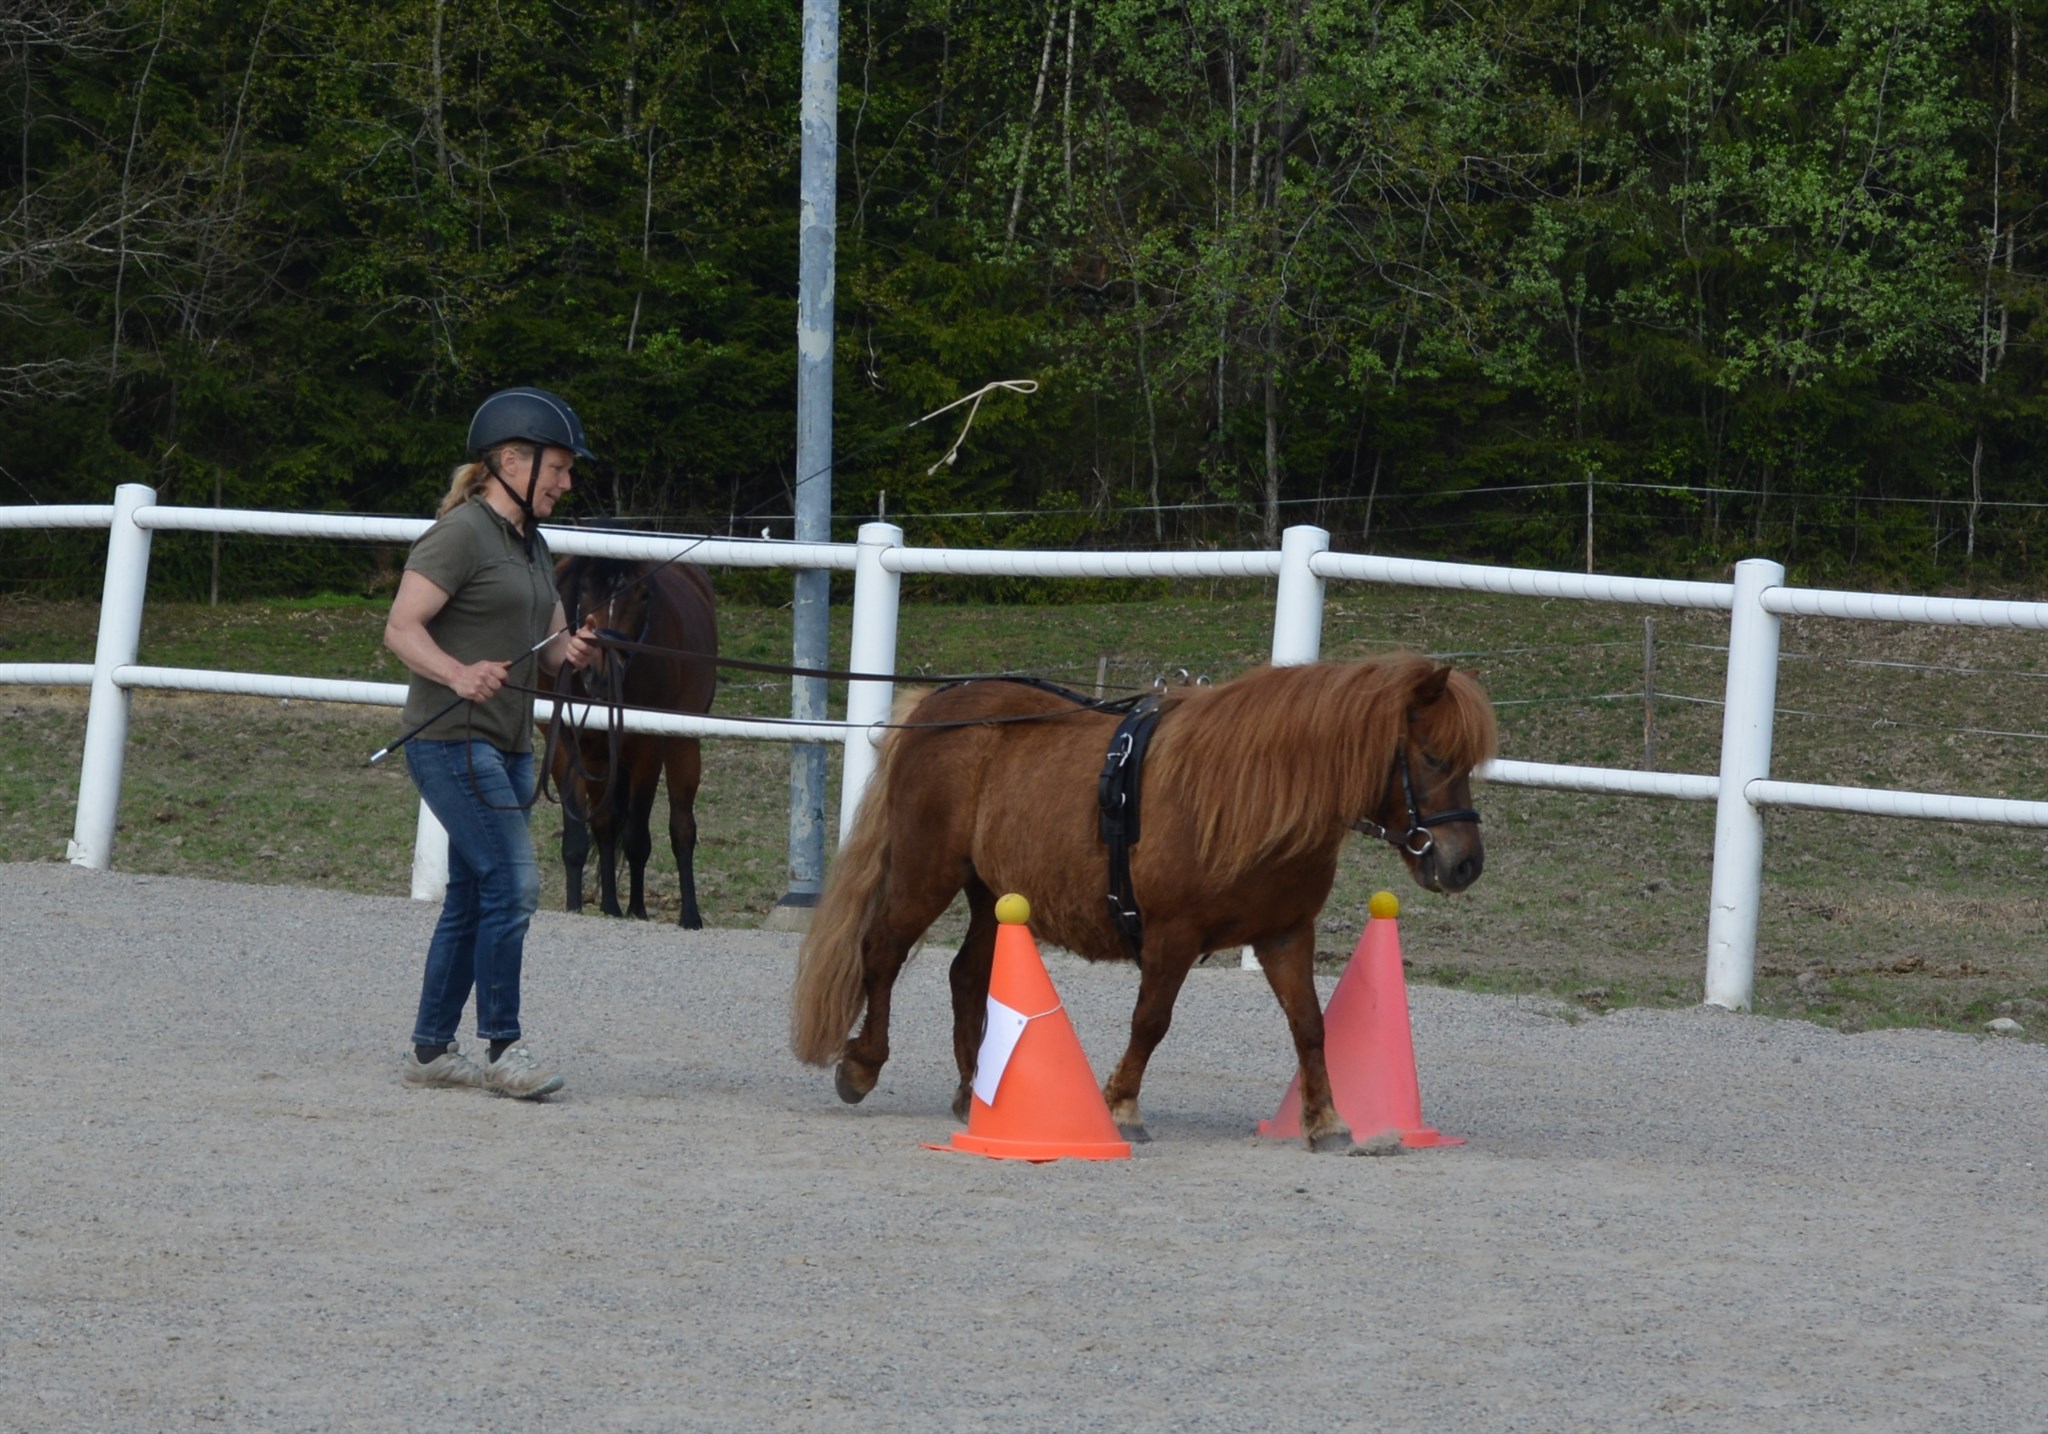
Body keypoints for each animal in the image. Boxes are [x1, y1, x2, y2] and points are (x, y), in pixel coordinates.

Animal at [552, 553, 720, 930]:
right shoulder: (575, 747)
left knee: (681, 827)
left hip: (682, 748)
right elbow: (585, 833)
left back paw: (689, 914)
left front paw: (637, 910)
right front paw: (578, 907)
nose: (601, 671)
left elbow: (637, 837)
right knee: (607, 824)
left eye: (644, 595)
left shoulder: (647, 750)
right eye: (584, 588)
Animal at [790, 655, 1499, 1163]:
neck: (1247, 794)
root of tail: (941, 704)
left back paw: (972, 1092)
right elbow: (1151, 1022)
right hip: (926, 874)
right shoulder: (1171, 937)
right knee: (882, 953)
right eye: (1434, 757)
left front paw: (1325, 1121)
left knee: (967, 975)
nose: (1465, 864)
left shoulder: (1286, 934)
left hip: (993, 894)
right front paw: (1122, 1107)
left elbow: (1310, 1026)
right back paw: (862, 1065)